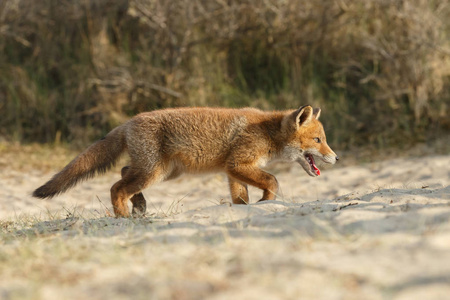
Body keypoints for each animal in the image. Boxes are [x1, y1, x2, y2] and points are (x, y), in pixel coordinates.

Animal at [34, 105, 338, 216]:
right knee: (116, 188)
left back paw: (139, 207)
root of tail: (128, 121)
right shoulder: (238, 164)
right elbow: (272, 180)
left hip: (163, 171)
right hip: (154, 172)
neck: (266, 131)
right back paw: (124, 217)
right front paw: (267, 201)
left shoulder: (232, 170)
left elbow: (240, 198)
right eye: (318, 140)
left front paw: (248, 208)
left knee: (122, 171)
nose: (336, 157)